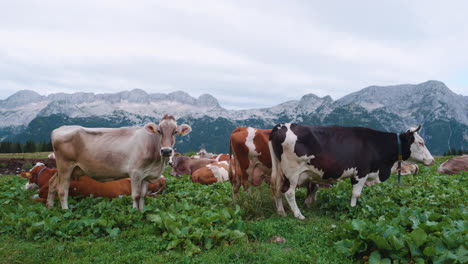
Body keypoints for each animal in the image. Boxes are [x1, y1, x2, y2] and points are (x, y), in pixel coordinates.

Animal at [49, 114, 190, 209]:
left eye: (175, 132)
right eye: (159, 131)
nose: (166, 151)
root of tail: (58, 129)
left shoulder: (146, 175)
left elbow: (143, 195)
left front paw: (142, 211)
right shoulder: (135, 173)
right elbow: (136, 195)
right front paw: (135, 213)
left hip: (67, 169)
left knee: (52, 183)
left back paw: (50, 206)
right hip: (65, 166)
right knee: (62, 190)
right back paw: (65, 210)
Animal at [270, 123, 436, 219]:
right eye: (421, 142)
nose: (433, 160)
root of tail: (280, 126)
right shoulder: (361, 172)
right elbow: (356, 193)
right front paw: (353, 209)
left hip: (279, 170)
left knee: (276, 188)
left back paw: (281, 212)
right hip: (292, 172)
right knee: (288, 192)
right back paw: (298, 215)